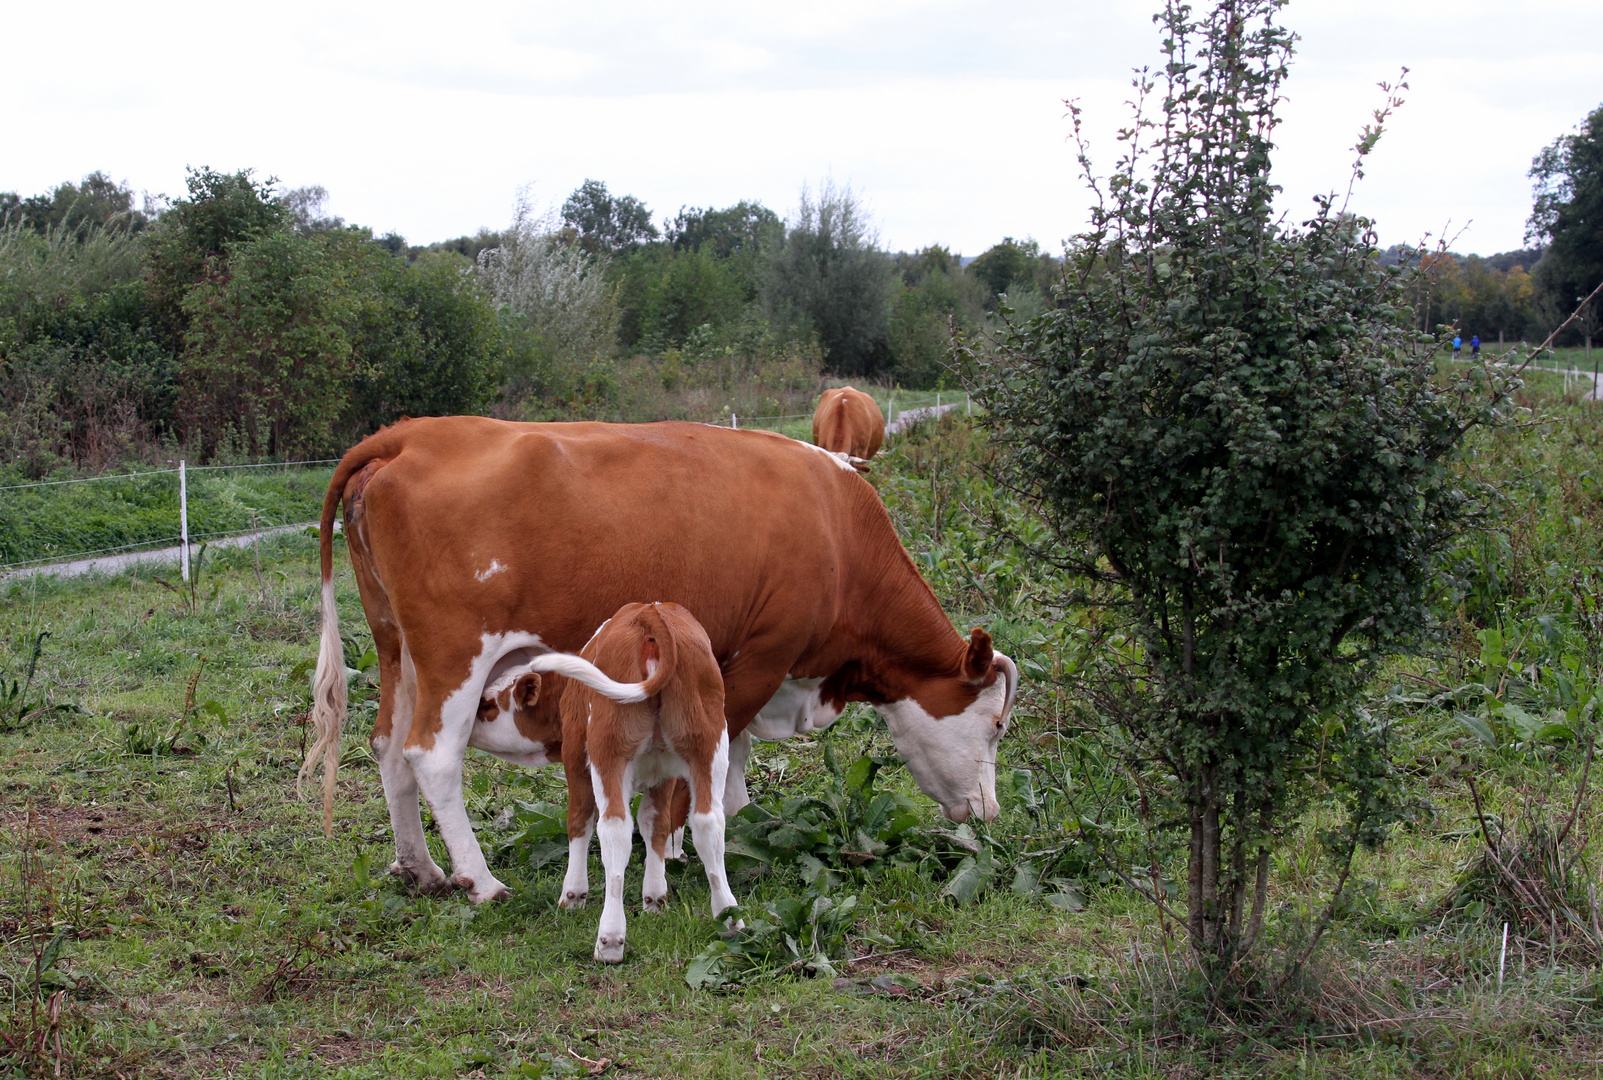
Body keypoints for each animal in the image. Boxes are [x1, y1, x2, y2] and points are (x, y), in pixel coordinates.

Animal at [306, 413, 1019, 897]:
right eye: (995, 724)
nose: (990, 814)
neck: (838, 531)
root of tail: (411, 434)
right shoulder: (764, 656)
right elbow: (707, 764)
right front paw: (676, 847)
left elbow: (733, 769)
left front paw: (732, 829)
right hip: (455, 655)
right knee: (432, 755)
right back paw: (481, 881)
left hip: (395, 646)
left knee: (388, 746)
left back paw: (422, 868)